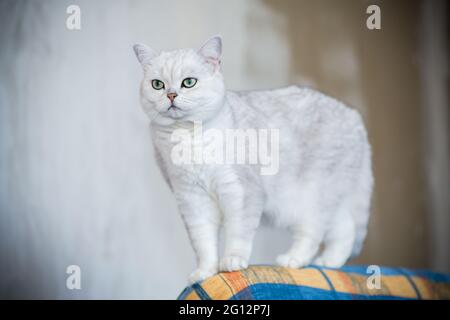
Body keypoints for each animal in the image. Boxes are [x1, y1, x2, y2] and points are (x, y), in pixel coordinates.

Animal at [133, 36, 372, 284]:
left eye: (188, 82)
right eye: (157, 84)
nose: (170, 95)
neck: (189, 136)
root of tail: (354, 116)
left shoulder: (240, 191)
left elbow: (238, 233)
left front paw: (231, 261)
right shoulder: (192, 199)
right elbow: (203, 242)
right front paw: (205, 272)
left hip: (312, 198)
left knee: (314, 232)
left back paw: (294, 259)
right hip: (324, 202)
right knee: (345, 228)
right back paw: (329, 262)